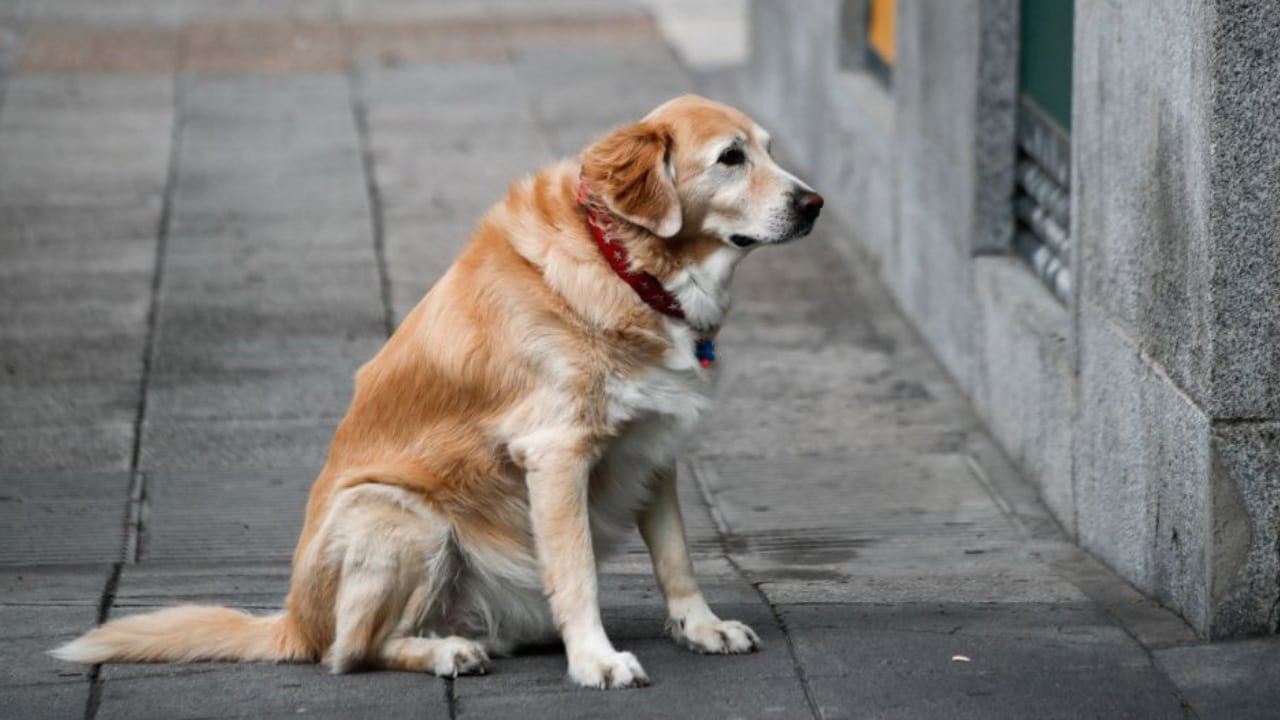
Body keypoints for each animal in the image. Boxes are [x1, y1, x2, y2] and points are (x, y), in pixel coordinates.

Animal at [52, 94, 819, 681]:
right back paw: (444, 651)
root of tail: (292, 622)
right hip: (400, 514)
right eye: (730, 158)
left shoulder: (652, 444)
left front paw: (702, 627)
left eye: (769, 148)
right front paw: (595, 660)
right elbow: (578, 573)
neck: (625, 264)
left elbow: (675, 556)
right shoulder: (556, 452)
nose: (814, 203)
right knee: (349, 652)